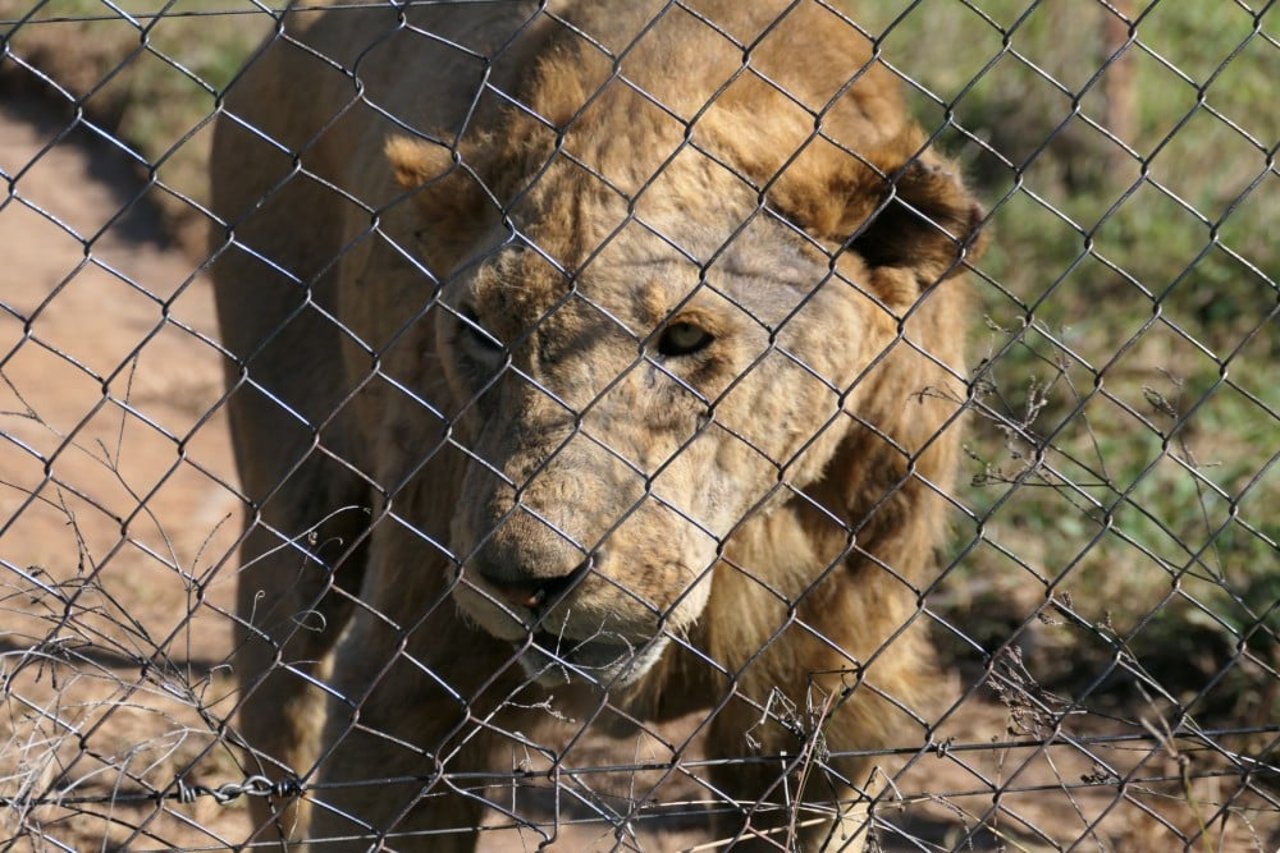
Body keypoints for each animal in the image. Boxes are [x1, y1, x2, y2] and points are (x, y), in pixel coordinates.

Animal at [212, 3, 977, 845]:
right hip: (299, 489)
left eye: (685, 336)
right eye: (481, 330)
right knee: (277, 681)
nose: (524, 583)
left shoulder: (823, 700)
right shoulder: (414, 678)